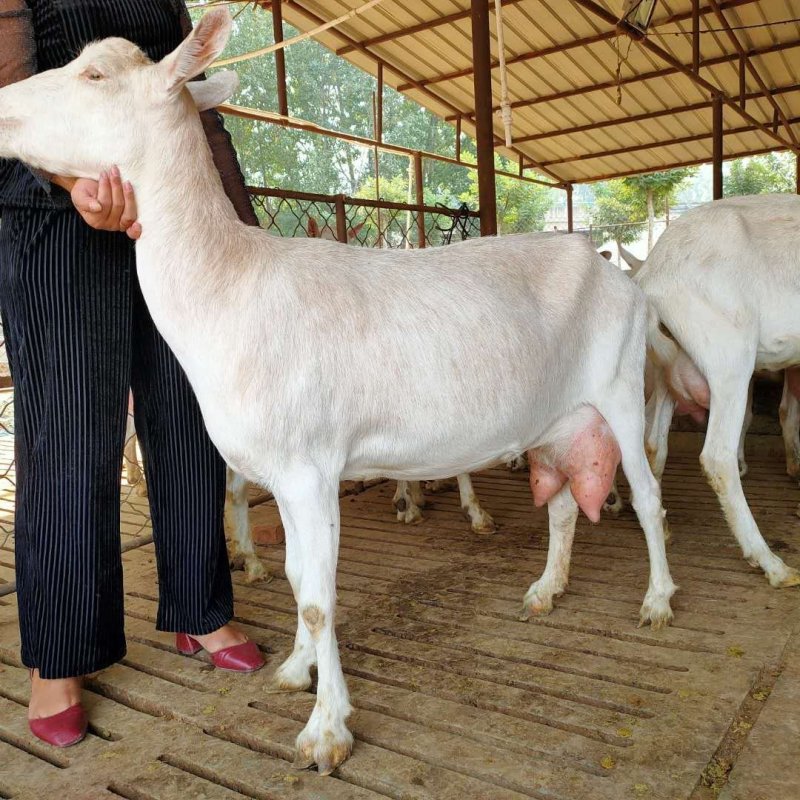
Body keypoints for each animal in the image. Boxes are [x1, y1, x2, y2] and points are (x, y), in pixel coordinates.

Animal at [0, 9, 680, 772]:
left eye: (93, 74)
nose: (1, 108)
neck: (229, 286)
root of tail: (624, 279)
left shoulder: (308, 467)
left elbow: (320, 597)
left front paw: (327, 730)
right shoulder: (284, 472)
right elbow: (300, 578)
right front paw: (299, 670)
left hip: (619, 391)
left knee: (648, 496)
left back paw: (658, 600)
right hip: (554, 419)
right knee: (562, 507)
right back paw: (544, 589)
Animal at [632, 196, 800, 584]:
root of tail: (651, 273)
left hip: (668, 367)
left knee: (654, 442)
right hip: (730, 354)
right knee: (715, 456)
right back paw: (770, 562)